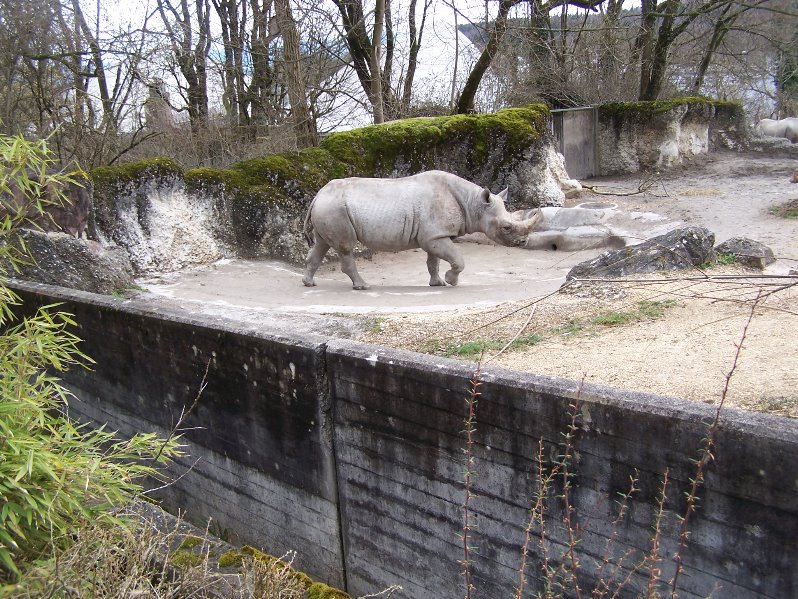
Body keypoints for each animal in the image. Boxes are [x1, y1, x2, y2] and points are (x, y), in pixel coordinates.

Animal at [302, 170, 542, 290]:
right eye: (506, 227)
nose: (523, 243)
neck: (473, 204)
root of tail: (318, 195)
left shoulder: (434, 234)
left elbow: (433, 261)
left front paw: (438, 283)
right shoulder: (434, 236)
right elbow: (457, 258)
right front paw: (452, 281)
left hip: (329, 207)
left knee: (321, 244)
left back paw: (309, 283)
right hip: (335, 208)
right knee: (345, 247)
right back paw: (364, 287)